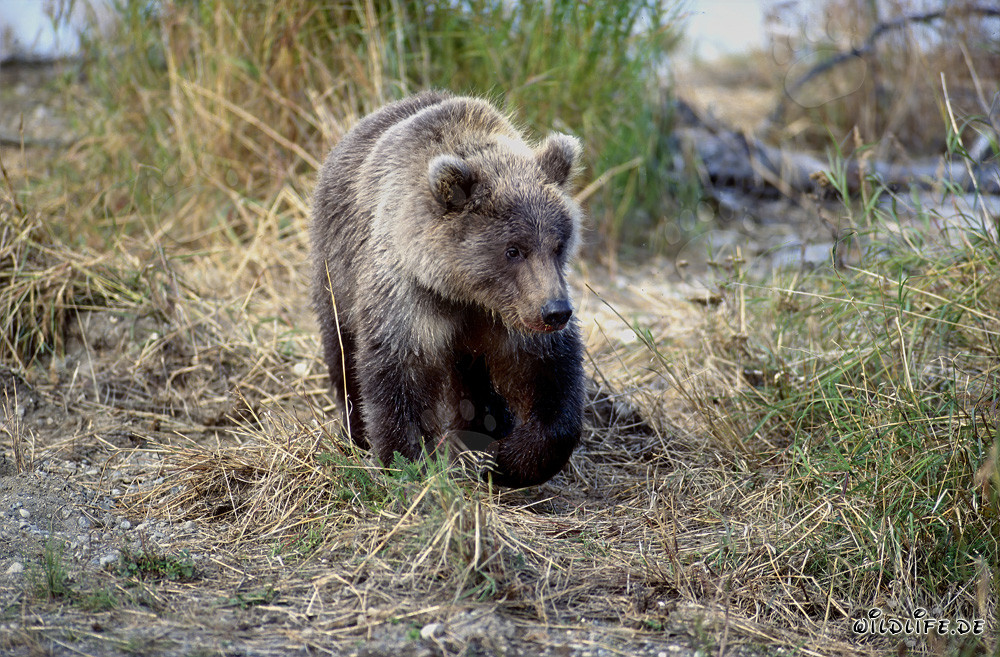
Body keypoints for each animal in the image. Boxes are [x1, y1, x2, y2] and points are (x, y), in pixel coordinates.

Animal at [310, 91, 585, 488]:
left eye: (559, 244)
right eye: (513, 249)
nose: (556, 311)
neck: (465, 292)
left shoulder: (512, 315)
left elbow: (547, 376)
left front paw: (504, 457)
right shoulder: (409, 296)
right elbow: (397, 373)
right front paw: (409, 460)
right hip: (335, 266)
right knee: (342, 346)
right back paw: (357, 431)